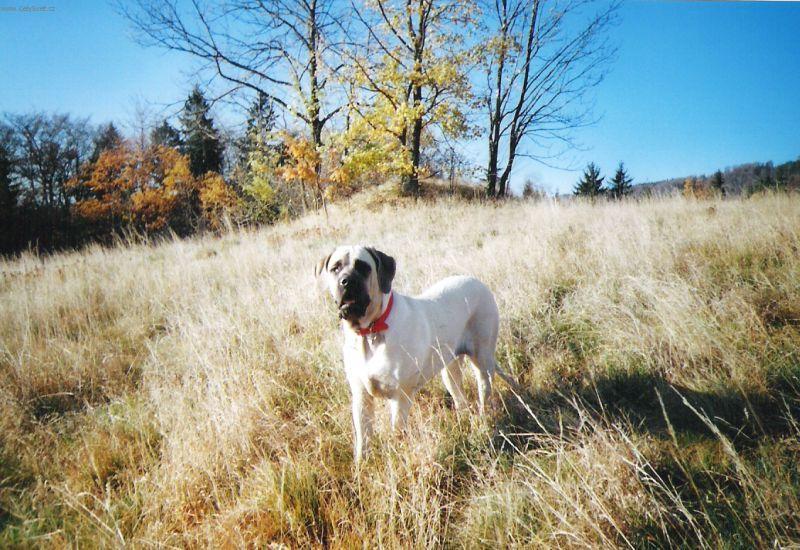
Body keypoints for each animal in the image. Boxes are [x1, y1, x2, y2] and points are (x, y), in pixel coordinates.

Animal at [314, 246, 496, 462]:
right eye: (335, 268)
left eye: (363, 267)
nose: (346, 281)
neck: (371, 332)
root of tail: (477, 282)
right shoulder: (361, 397)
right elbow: (363, 440)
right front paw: (360, 467)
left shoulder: (400, 396)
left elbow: (397, 432)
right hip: (449, 371)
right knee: (460, 398)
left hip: (482, 361)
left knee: (484, 390)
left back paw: (484, 422)